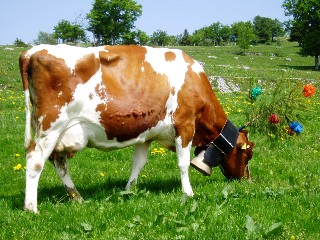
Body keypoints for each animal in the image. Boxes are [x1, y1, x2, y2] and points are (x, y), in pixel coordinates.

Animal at [19, 44, 255, 213]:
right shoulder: (185, 125)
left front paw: (128, 189)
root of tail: (32, 51)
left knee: (59, 163)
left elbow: (138, 164)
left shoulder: (147, 135)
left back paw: (77, 197)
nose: (247, 181)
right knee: (35, 160)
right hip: (50, 127)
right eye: (247, 155)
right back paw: (31, 208)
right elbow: (183, 163)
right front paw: (188, 193)